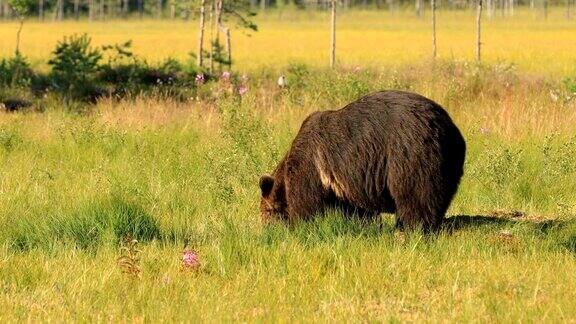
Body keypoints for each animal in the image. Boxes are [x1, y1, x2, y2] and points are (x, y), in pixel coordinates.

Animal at [258, 91, 466, 232]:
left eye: (266, 212)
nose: (266, 231)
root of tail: (448, 126)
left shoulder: (311, 168)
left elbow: (306, 206)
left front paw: (301, 226)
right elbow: (357, 212)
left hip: (409, 153)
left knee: (415, 196)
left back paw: (411, 228)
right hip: (449, 161)